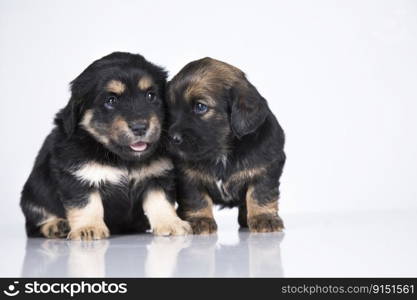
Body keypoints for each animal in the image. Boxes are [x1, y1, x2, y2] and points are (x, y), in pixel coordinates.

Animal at [22, 51, 191, 239]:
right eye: (111, 100)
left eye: (150, 96)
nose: (140, 127)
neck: (121, 159)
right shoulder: (77, 178)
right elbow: (87, 204)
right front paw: (88, 228)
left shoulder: (158, 176)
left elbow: (161, 202)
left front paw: (171, 223)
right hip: (33, 193)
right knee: (35, 222)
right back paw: (57, 226)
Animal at [167, 57, 284, 233]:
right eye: (169, 108)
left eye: (200, 107)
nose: (172, 138)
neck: (222, 152)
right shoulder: (188, 176)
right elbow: (196, 198)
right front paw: (200, 220)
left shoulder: (265, 169)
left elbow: (260, 194)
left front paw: (264, 218)